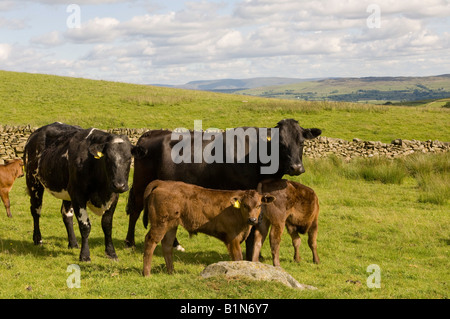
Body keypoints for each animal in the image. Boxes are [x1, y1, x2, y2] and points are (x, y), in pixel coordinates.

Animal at [23, 123, 142, 262]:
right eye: (107, 158)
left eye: (129, 159)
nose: (119, 185)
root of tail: (36, 132)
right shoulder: (78, 195)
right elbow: (85, 226)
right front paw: (85, 255)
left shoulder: (113, 197)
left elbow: (107, 225)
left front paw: (111, 253)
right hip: (33, 182)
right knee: (36, 211)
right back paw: (38, 239)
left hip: (66, 191)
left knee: (66, 214)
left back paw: (73, 243)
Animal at [123, 119, 320, 249]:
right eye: (281, 143)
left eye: (301, 142)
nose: (296, 167)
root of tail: (152, 132)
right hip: (141, 181)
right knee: (136, 209)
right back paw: (129, 242)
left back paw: (175, 244)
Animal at [142, 181, 276, 276]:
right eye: (245, 205)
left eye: (259, 205)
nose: (252, 220)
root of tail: (163, 183)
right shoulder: (232, 238)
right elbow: (238, 258)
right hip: (160, 223)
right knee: (150, 241)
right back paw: (147, 273)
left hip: (171, 224)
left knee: (167, 245)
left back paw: (171, 272)